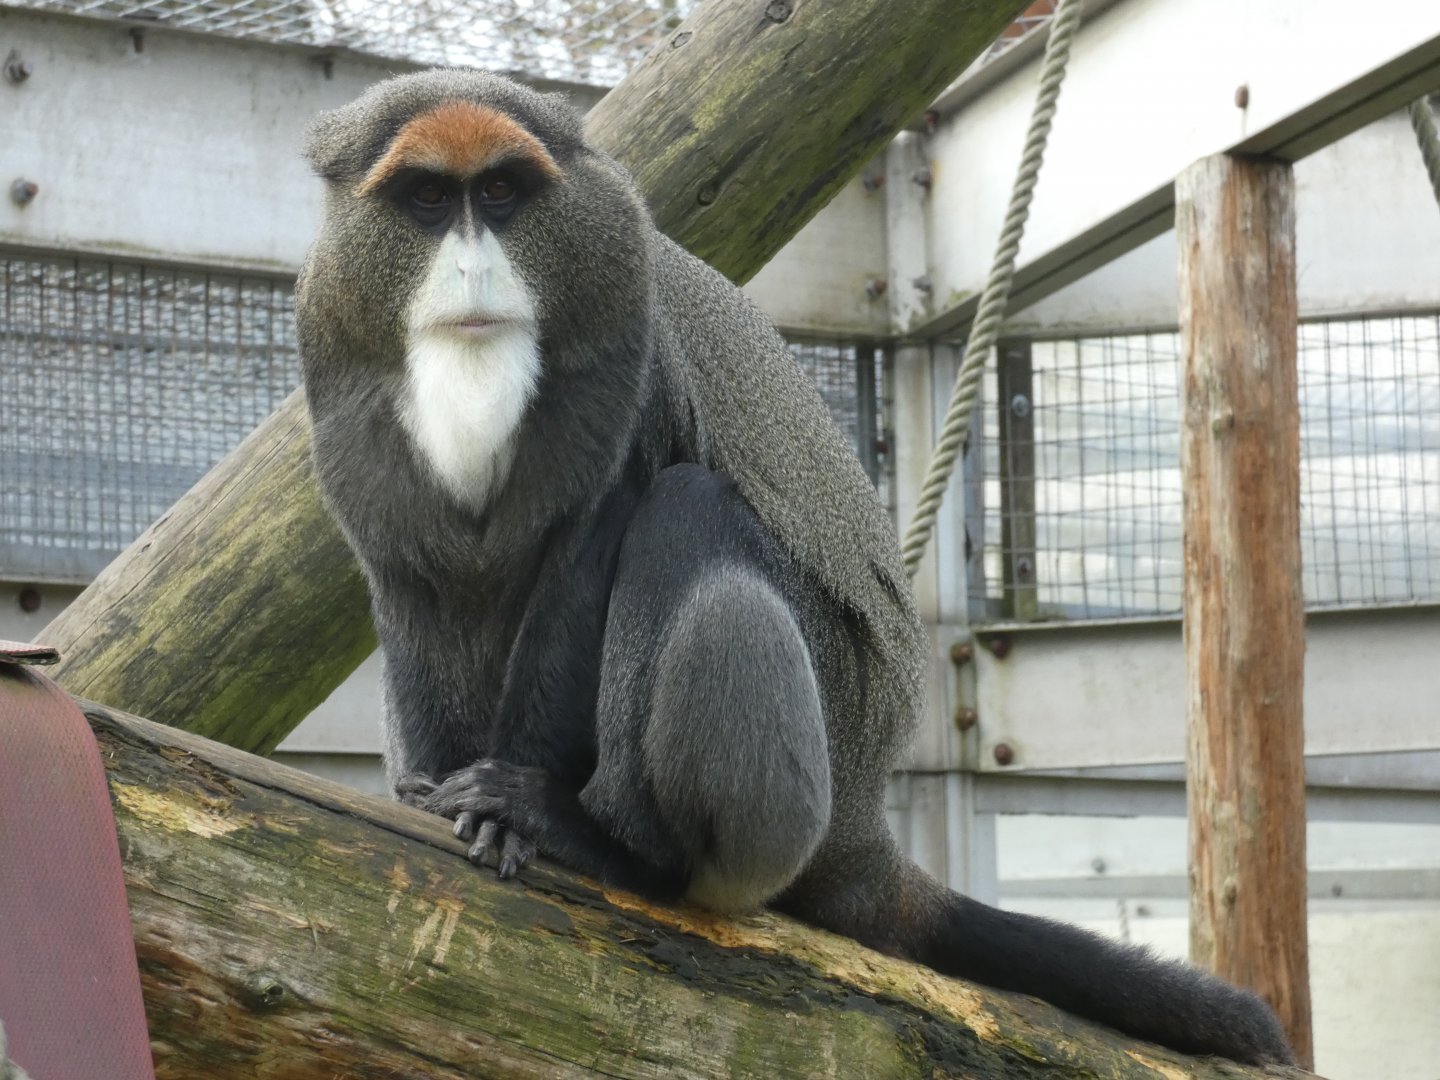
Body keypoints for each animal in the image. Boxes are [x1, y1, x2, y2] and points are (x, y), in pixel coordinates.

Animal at [294, 69, 1294, 1066]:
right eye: (429, 200)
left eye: (500, 193)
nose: (472, 264)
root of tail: (862, 832)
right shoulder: (337, 370)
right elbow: (408, 582)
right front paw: (424, 798)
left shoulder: (629, 351)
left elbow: (596, 544)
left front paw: (514, 813)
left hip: (829, 729)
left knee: (689, 509)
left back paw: (623, 848)